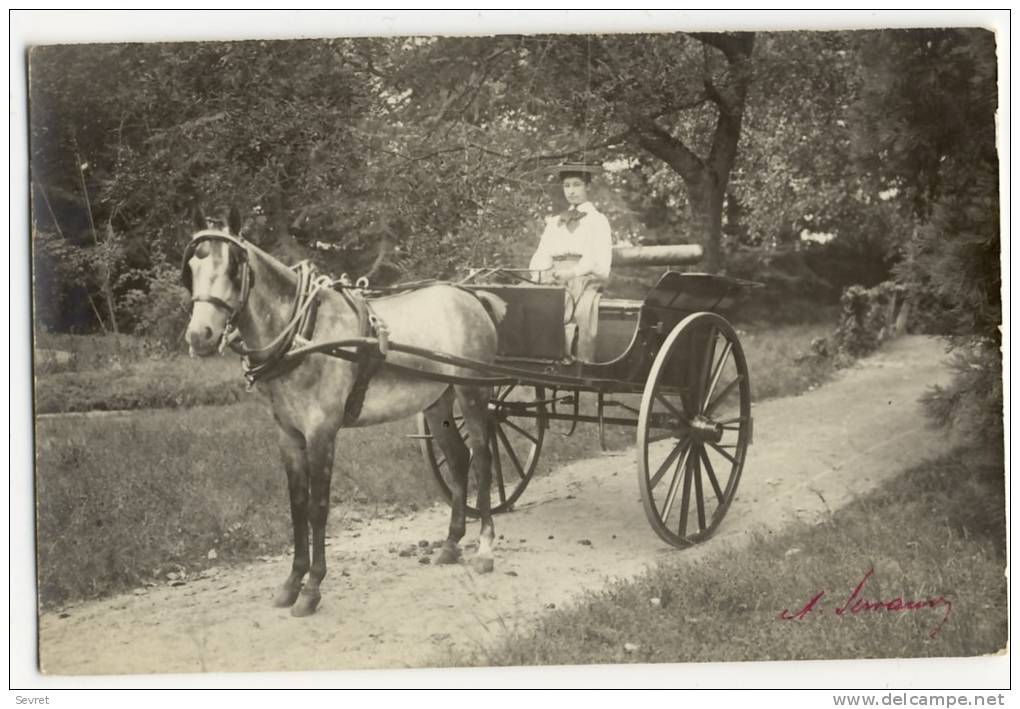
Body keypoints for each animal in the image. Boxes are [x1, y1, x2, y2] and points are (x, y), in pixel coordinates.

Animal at [184, 207, 510, 616]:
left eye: (233, 266)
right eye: (191, 266)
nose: (200, 336)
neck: (303, 333)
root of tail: (472, 296)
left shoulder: (322, 432)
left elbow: (318, 507)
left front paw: (312, 588)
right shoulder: (289, 435)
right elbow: (297, 505)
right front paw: (292, 582)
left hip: (472, 392)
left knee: (482, 458)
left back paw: (485, 548)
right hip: (438, 402)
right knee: (458, 459)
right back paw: (451, 545)